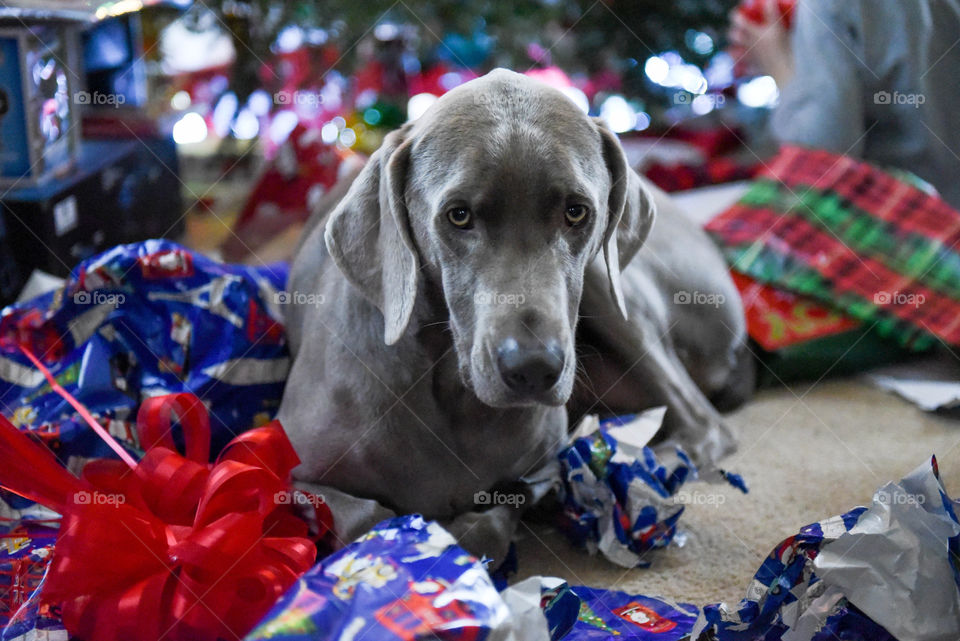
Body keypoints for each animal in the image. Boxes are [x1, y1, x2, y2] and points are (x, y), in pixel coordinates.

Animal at [278, 69, 752, 560]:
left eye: (576, 212)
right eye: (459, 215)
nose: (533, 368)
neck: (452, 391)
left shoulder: (542, 465)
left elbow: (497, 517)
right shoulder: (289, 472)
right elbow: (364, 517)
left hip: (608, 282)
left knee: (703, 423)